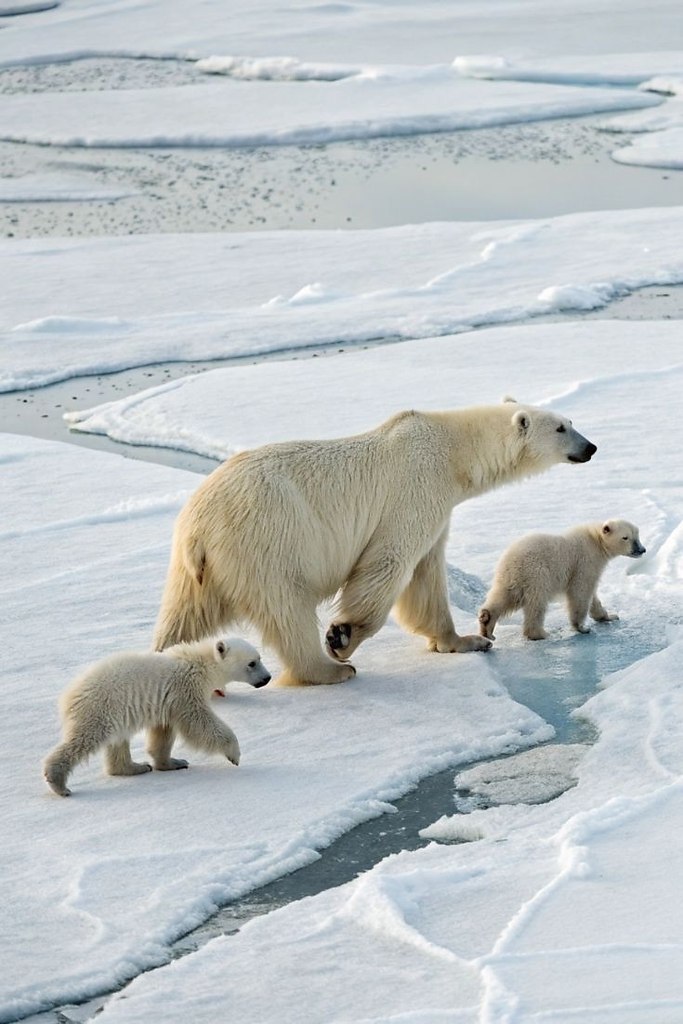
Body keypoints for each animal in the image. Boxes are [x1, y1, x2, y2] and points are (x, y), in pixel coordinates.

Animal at [43, 636, 270, 797]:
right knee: (84, 739)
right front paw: (234, 754)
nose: (268, 678)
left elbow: (163, 732)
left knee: (118, 741)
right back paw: (59, 783)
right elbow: (198, 721)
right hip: (101, 708)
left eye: (259, 658)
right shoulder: (185, 690)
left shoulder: (168, 701)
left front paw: (173, 762)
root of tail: (69, 696)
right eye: (252, 663)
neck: (200, 663)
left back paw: (136, 767)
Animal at [153, 399, 596, 686]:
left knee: (184, 617)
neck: (452, 452)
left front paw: (466, 641)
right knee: (286, 606)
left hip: (198, 569)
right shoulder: (414, 490)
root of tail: (197, 526)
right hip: (265, 538)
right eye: (561, 428)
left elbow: (426, 577)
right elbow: (389, 561)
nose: (591, 446)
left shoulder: (437, 509)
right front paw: (342, 636)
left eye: (572, 420)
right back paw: (330, 669)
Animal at [478, 519, 645, 642]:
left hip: (509, 579)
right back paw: (539, 634)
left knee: (503, 597)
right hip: (537, 573)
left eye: (637, 535)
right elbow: (581, 592)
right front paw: (582, 627)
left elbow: (592, 596)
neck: (595, 540)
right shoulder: (584, 562)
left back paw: (487, 624)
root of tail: (511, 561)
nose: (642, 550)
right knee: (536, 604)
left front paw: (609, 616)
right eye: (626, 537)